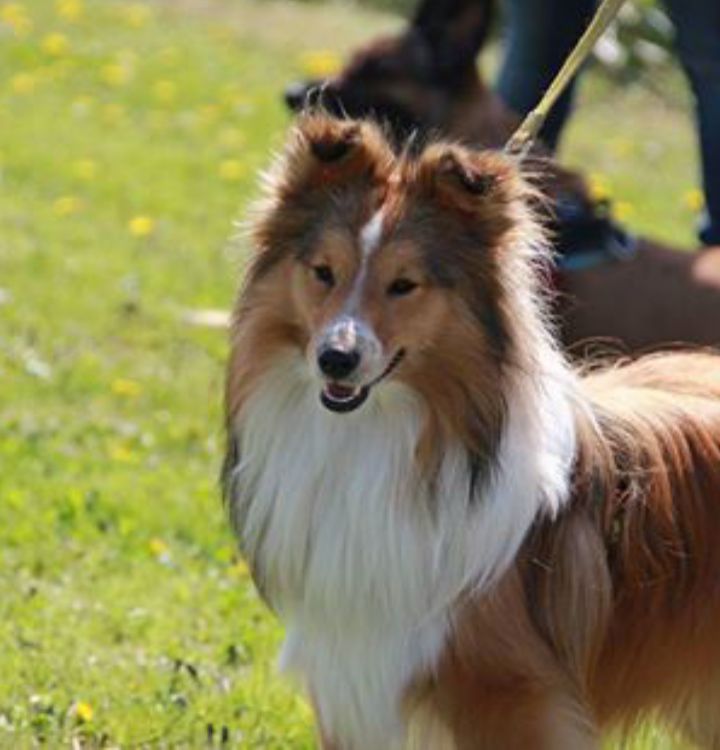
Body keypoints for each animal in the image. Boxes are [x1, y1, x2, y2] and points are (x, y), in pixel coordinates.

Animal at [222, 113, 720, 750]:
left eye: (404, 284)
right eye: (323, 273)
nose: (336, 360)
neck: (385, 436)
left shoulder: (512, 696)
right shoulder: (353, 675)